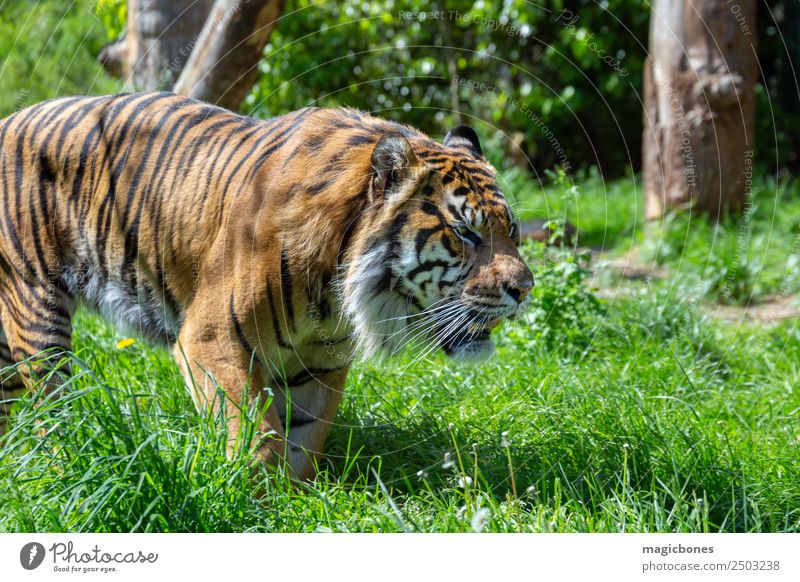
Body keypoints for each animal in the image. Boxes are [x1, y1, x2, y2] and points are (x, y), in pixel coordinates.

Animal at [0, 93, 536, 482]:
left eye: (511, 230)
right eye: (466, 233)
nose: (525, 289)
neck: (335, 293)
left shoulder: (319, 362)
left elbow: (305, 437)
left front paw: (298, 500)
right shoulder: (212, 341)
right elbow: (255, 432)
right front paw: (256, 501)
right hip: (37, 310)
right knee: (51, 408)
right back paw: (62, 466)